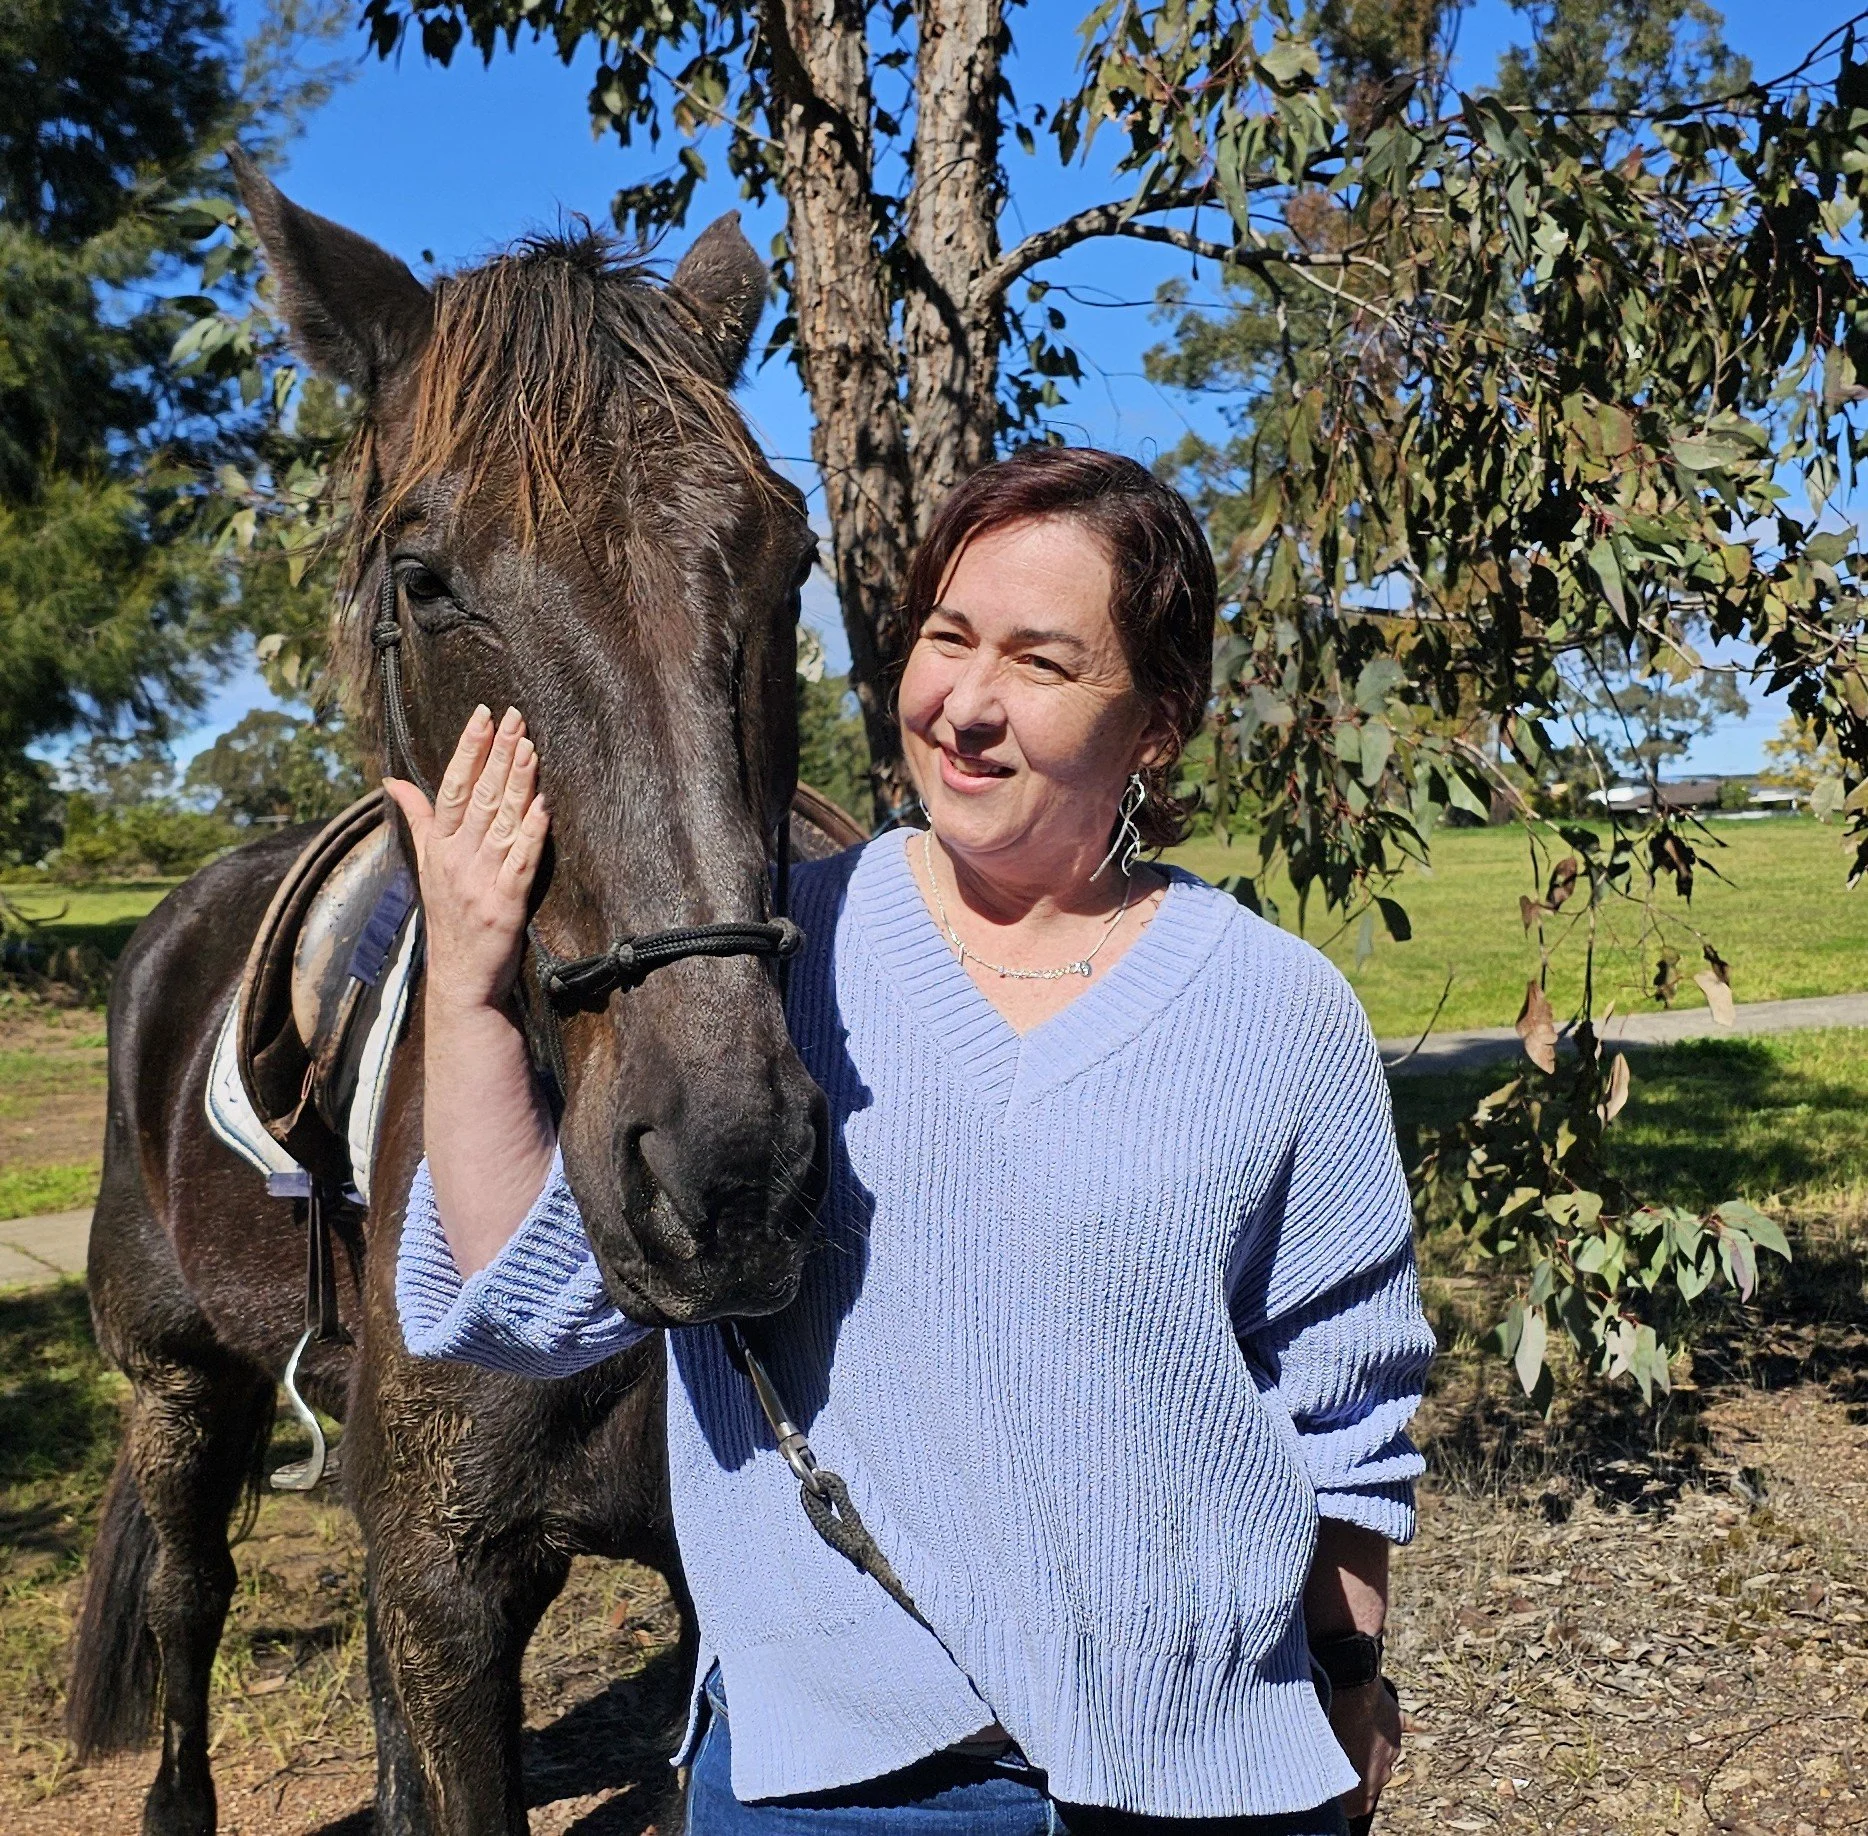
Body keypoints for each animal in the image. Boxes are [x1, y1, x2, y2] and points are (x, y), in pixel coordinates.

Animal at [67, 156, 834, 1836]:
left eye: (788, 556)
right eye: (425, 582)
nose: (727, 1175)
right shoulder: (453, 1588)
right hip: (175, 1392)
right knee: (189, 1597)